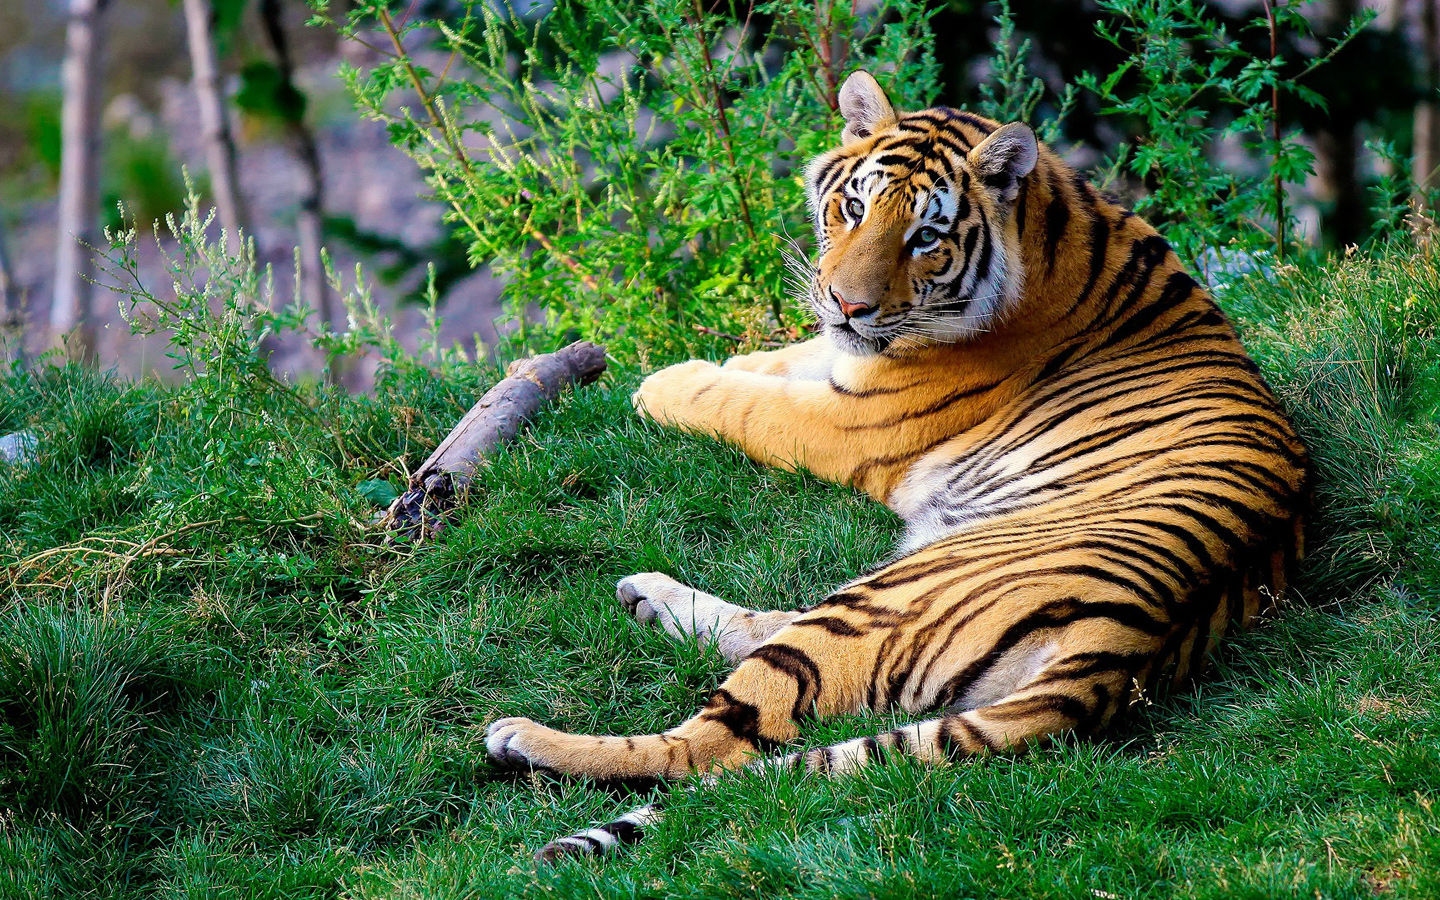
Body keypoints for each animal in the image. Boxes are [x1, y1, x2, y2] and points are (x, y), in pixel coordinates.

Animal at [484, 70, 1310, 862]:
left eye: (925, 238)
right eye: (852, 208)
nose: (848, 304)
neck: (1053, 227)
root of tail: (1126, 649)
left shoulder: (850, 421)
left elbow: (746, 403)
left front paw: (663, 383)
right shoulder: (844, 362)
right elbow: (781, 360)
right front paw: (727, 359)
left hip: (886, 597)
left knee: (711, 745)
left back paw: (526, 738)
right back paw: (647, 598)